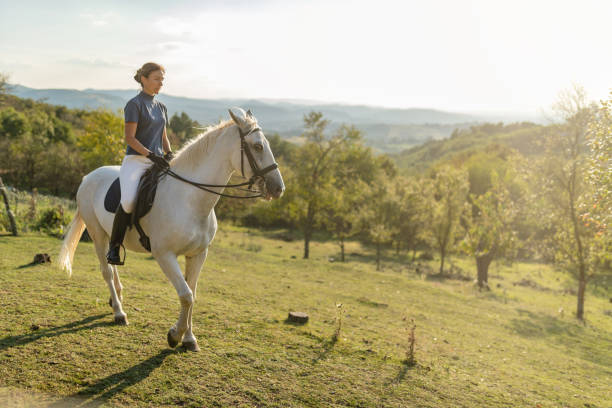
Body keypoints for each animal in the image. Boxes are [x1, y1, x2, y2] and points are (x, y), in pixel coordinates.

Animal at [57, 107, 284, 350]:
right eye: (258, 146)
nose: (278, 188)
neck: (190, 199)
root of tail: (88, 177)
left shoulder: (198, 254)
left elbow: (193, 293)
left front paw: (189, 339)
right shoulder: (164, 254)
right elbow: (186, 295)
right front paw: (175, 335)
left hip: (110, 235)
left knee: (112, 262)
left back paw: (115, 299)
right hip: (97, 233)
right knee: (106, 271)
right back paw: (119, 313)